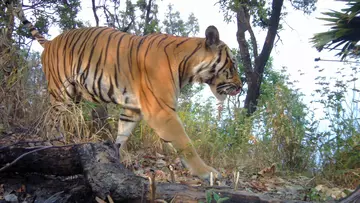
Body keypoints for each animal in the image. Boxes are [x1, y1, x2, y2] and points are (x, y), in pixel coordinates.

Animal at [11, 3, 242, 181]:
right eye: (233, 65)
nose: (241, 87)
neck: (188, 65)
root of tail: (51, 42)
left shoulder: (132, 109)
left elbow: (122, 135)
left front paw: (115, 158)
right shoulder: (161, 111)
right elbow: (185, 143)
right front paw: (208, 173)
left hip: (73, 97)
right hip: (61, 93)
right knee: (50, 119)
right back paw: (50, 142)